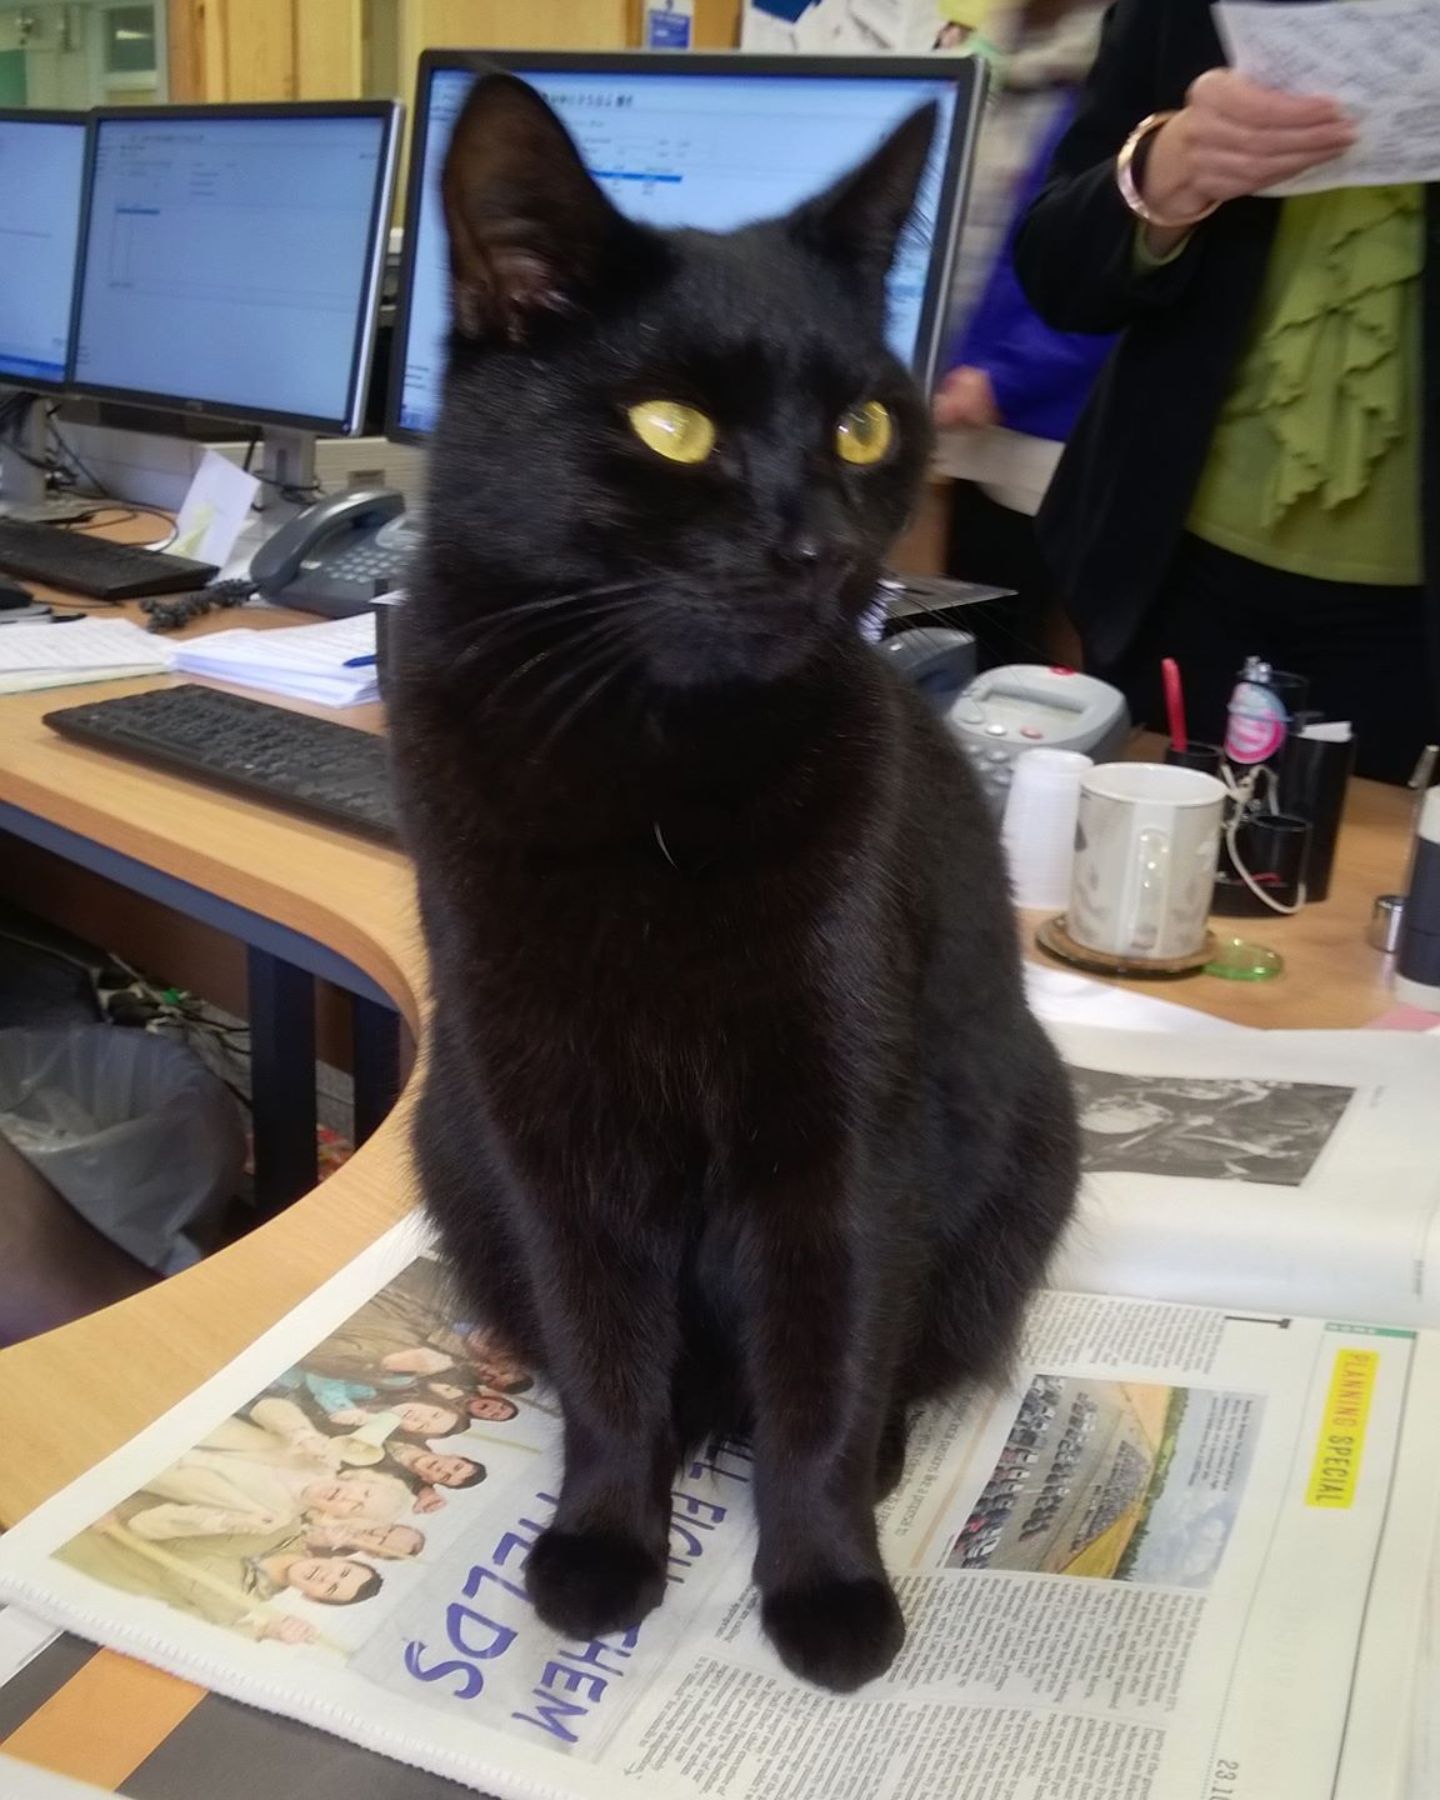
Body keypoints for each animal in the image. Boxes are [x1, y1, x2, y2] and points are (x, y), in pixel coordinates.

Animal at [388, 70, 1072, 1692]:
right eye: (672, 425)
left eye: (865, 423)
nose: (815, 542)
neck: (654, 772)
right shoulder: (545, 1118)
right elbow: (604, 1355)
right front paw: (602, 1542)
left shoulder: (842, 1128)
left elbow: (822, 1376)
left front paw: (824, 1586)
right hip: (451, 1155)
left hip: (1028, 1140)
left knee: (894, 1359)